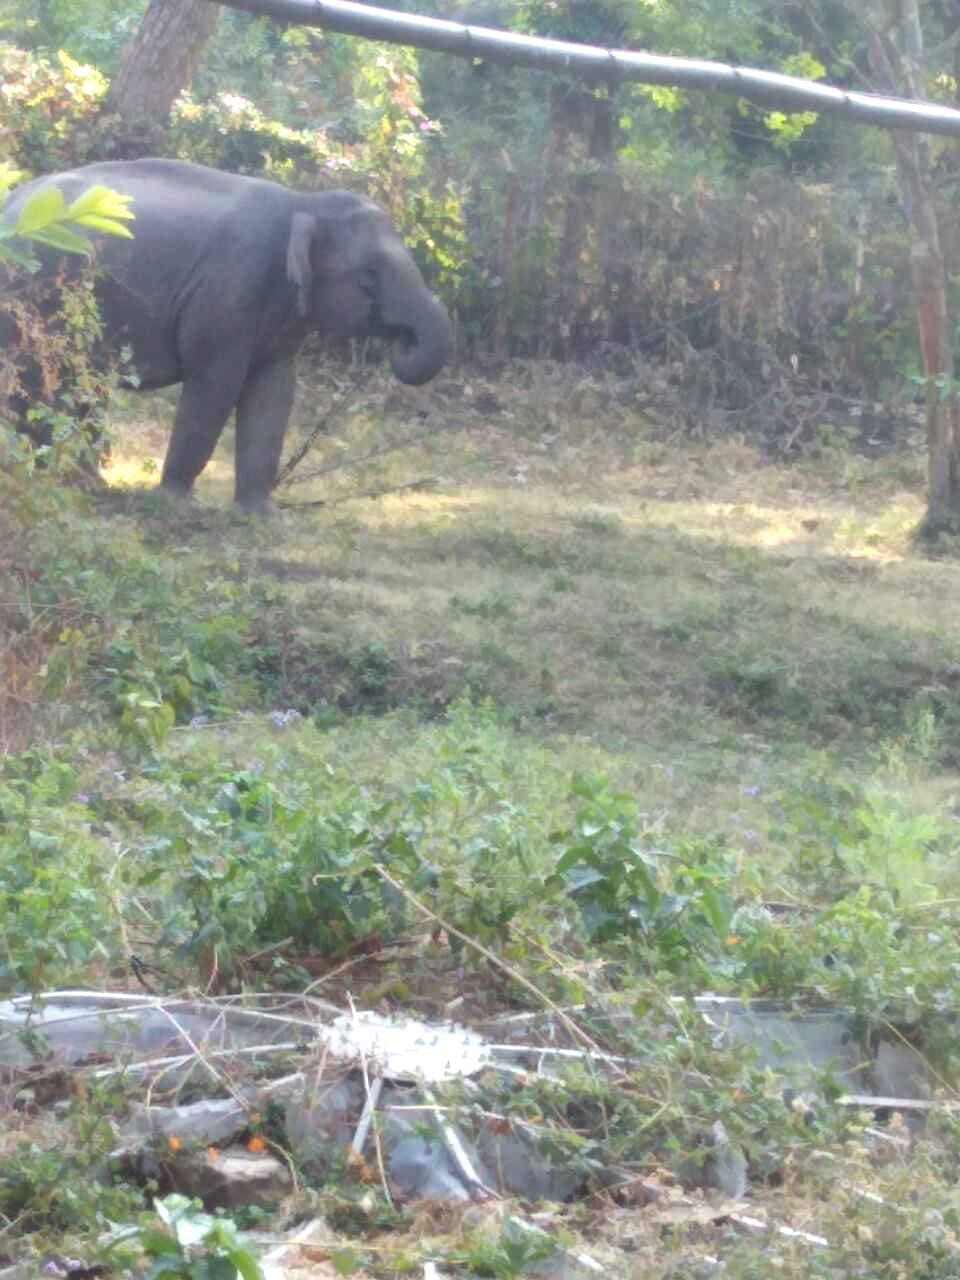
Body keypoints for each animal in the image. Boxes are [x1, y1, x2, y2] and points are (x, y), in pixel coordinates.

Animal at [2, 159, 452, 511]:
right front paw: (175, 502)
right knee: (43, 384)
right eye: (370, 275)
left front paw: (260, 514)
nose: (401, 338)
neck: (304, 202)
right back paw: (67, 482)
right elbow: (216, 384)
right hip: (38, 297)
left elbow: (274, 391)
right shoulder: (230, 288)